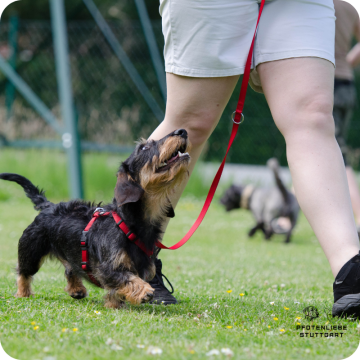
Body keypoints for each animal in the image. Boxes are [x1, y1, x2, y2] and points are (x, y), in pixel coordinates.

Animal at [0, 128, 191, 308]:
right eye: (144, 148)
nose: (182, 131)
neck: (128, 223)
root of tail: (49, 206)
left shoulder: (145, 268)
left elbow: (119, 288)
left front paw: (114, 303)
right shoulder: (107, 268)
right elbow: (126, 279)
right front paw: (144, 291)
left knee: (70, 268)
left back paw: (76, 289)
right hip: (31, 251)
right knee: (23, 273)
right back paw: (23, 293)